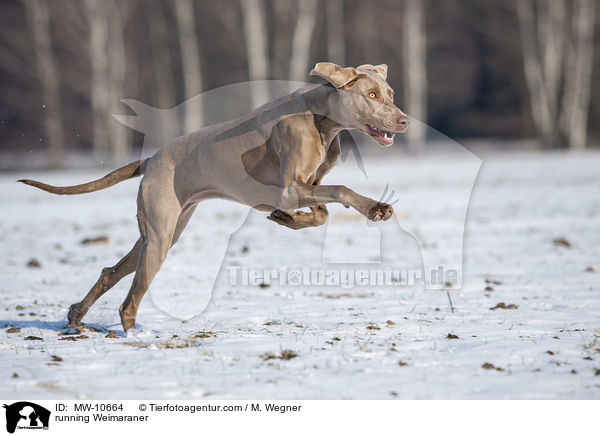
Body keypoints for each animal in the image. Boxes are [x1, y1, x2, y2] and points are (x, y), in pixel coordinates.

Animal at [21, 63, 410, 330]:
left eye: (390, 94)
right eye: (372, 95)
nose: (404, 120)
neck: (322, 115)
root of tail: (152, 158)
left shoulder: (307, 186)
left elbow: (322, 213)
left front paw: (286, 219)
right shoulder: (291, 188)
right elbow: (340, 191)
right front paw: (375, 208)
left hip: (162, 232)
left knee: (110, 271)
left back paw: (76, 315)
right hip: (159, 237)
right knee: (128, 303)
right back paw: (132, 335)